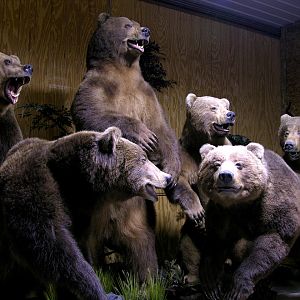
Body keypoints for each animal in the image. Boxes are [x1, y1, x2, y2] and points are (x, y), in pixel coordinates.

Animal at [0, 127, 170, 300]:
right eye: (143, 159)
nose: (167, 177)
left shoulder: (82, 214)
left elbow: (80, 243)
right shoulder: (33, 188)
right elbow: (53, 247)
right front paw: (97, 290)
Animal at [71, 12, 202, 282]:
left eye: (138, 23)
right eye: (127, 24)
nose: (146, 30)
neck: (124, 71)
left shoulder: (147, 95)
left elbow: (162, 128)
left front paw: (171, 167)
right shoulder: (93, 85)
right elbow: (92, 112)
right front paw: (144, 136)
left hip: (140, 212)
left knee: (143, 248)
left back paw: (148, 281)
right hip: (89, 214)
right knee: (87, 246)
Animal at [198, 143, 300, 300]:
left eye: (239, 164)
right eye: (216, 164)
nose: (225, 176)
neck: (241, 205)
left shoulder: (275, 204)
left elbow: (271, 242)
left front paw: (237, 288)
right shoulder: (220, 212)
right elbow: (216, 242)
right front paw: (211, 284)